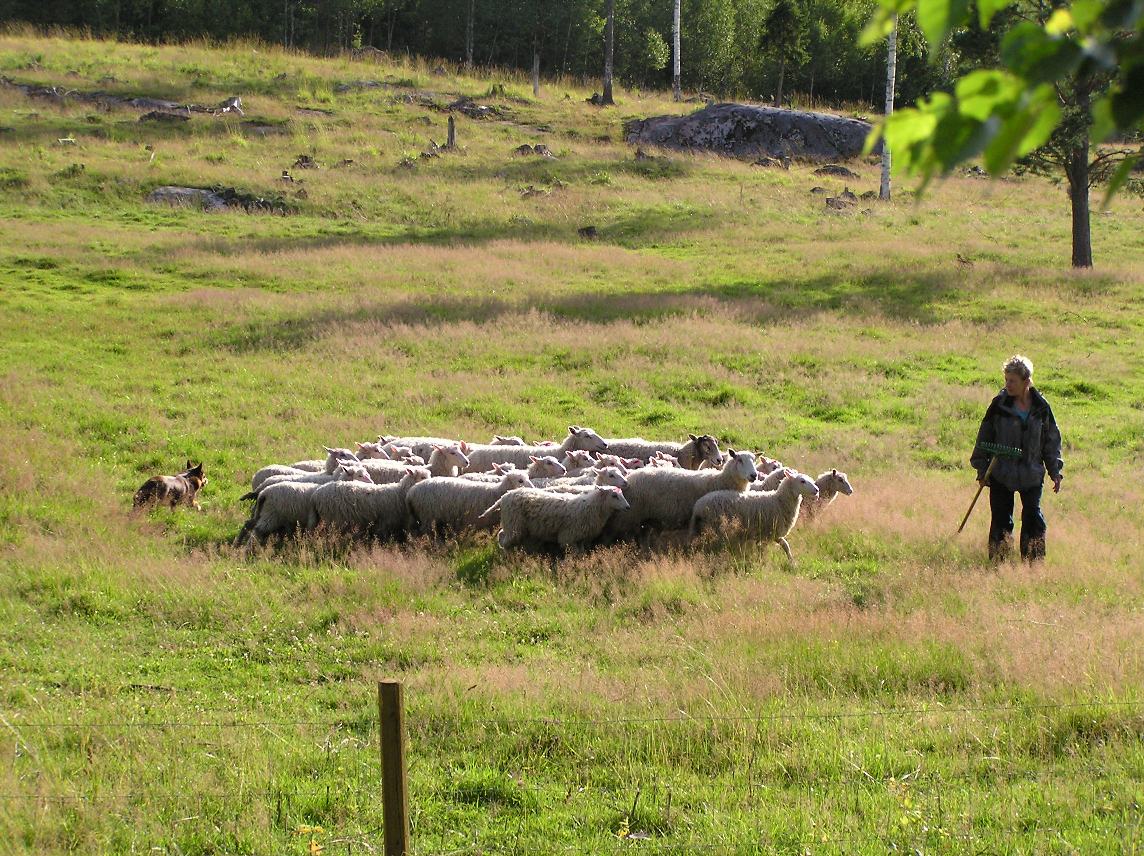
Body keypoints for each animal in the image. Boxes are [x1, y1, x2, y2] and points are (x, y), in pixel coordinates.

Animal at [478, 485, 631, 551]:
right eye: (614, 495)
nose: (628, 507)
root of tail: (504, 497)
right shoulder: (568, 536)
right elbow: (573, 554)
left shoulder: (581, 537)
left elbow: (580, 553)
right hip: (514, 523)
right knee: (503, 538)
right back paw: (506, 554)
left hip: (512, 524)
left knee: (502, 534)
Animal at [604, 444, 755, 537]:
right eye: (739, 460)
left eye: (754, 460)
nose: (754, 475)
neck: (719, 480)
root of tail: (629, 478)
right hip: (627, 516)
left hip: (644, 520)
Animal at [686, 469, 823, 560]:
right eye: (802, 481)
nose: (817, 490)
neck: (778, 501)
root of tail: (698, 505)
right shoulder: (768, 533)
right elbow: (765, 549)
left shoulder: (773, 534)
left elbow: (786, 546)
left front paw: (792, 563)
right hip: (716, 528)